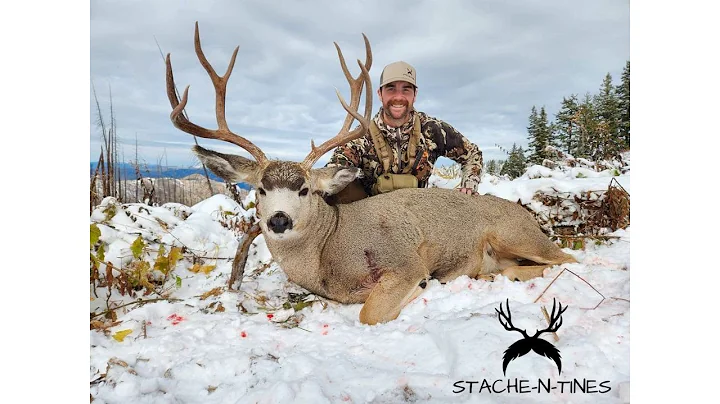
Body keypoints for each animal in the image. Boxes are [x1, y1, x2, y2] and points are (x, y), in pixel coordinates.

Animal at [164, 23, 578, 325]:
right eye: (261, 189)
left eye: (305, 190)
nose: (279, 221)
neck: (330, 249)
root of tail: (526, 214)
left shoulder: (405, 263)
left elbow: (369, 314)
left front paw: (422, 291)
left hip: (513, 235)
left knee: (567, 261)